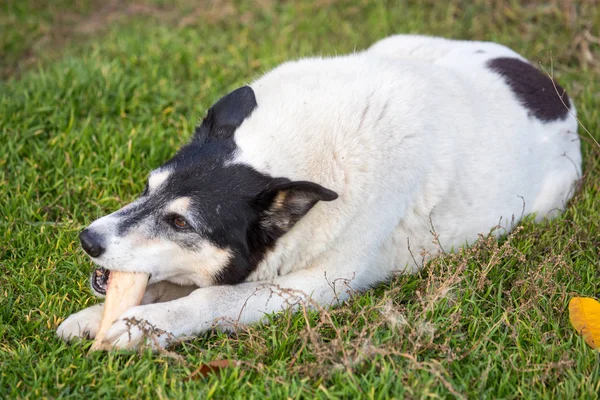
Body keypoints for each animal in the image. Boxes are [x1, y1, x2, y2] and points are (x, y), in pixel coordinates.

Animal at [56, 34, 580, 348]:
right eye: (149, 187)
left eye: (181, 221)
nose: (88, 240)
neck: (294, 152)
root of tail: (552, 87)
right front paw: (95, 317)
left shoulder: (311, 289)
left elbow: (211, 298)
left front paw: (147, 326)